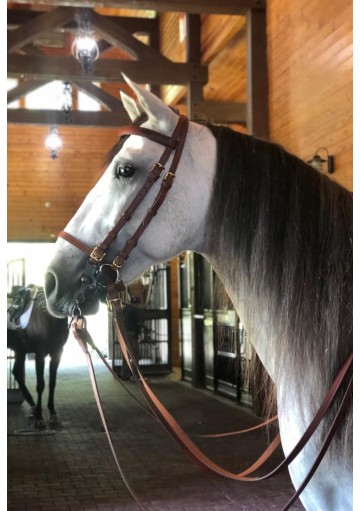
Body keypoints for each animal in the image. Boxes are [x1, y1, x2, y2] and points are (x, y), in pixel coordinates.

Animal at [7, 288, 68, 428]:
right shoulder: (40, 355)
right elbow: (40, 385)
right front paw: (40, 417)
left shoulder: (57, 353)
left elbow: (52, 383)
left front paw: (52, 413)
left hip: (20, 350)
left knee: (17, 372)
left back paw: (33, 406)